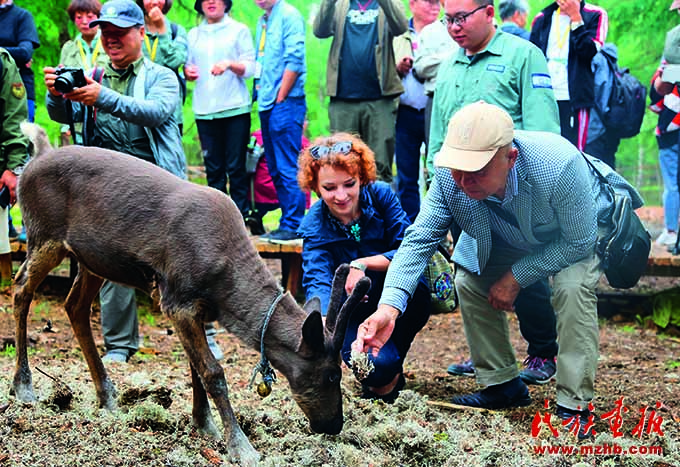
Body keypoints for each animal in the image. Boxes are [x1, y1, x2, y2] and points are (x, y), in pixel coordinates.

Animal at [11, 125, 372, 467]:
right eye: (332, 373)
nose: (335, 425)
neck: (224, 290)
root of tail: (36, 157)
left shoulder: (192, 309)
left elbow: (196, 367)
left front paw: (204, 423)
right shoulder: (177, 301)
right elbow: (212, 371)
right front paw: (240, 445)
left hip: (92, 259)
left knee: (74, 305)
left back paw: (107, 396)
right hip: (43, 236)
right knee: (20, 290)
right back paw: (24, 386)